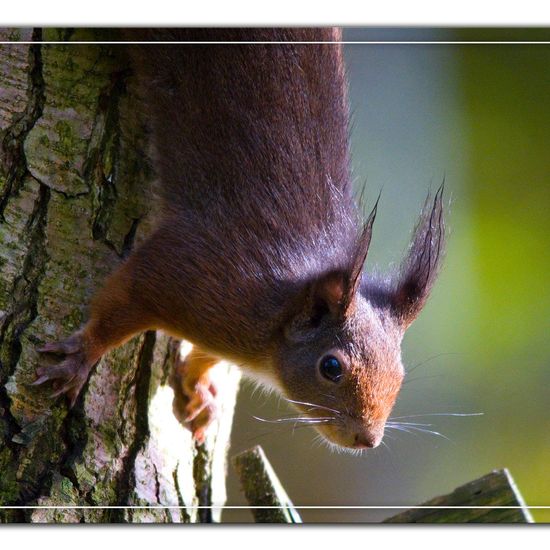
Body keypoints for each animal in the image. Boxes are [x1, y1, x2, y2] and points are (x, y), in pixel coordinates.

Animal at [33, 28, 448, 452]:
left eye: (399, 372)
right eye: (331, 366)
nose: (367, 439)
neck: (273, 329)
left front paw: (199, 387)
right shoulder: (194, 275)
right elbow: (124, 297)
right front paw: (81, 356)